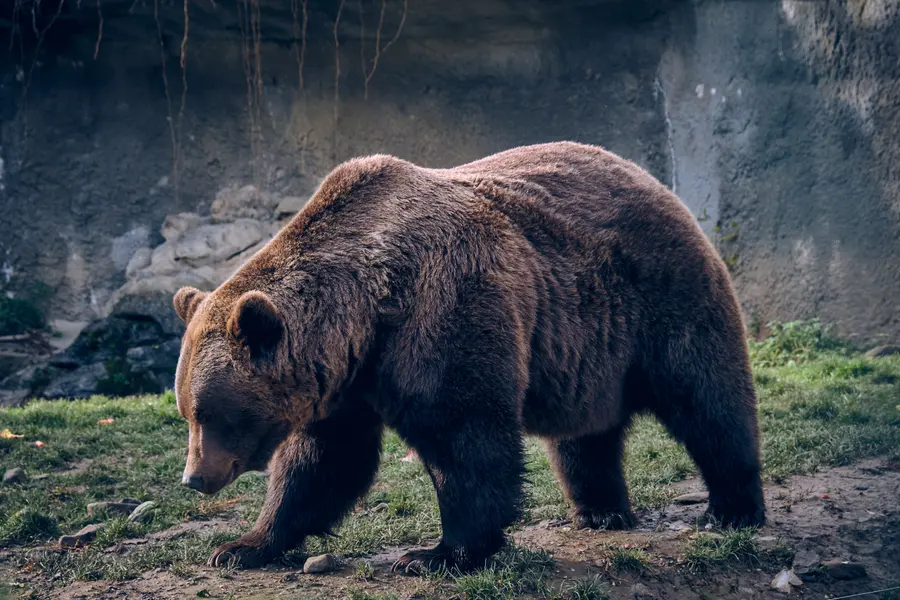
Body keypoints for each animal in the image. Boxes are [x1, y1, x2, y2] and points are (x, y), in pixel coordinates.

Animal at [172, 141, 765, 574]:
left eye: (210, 412)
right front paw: (242, 546)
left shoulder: (443, 307)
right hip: (588, 348)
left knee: (707, 398)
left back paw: (733, 507)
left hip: (663, 297)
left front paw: (435, 554)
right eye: (186, 411)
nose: (194, 478)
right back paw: (599, 510)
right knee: (584, 434)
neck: (367, 309)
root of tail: (648, 176)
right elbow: (320, 463)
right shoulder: (344, 382)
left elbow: (464, 437)